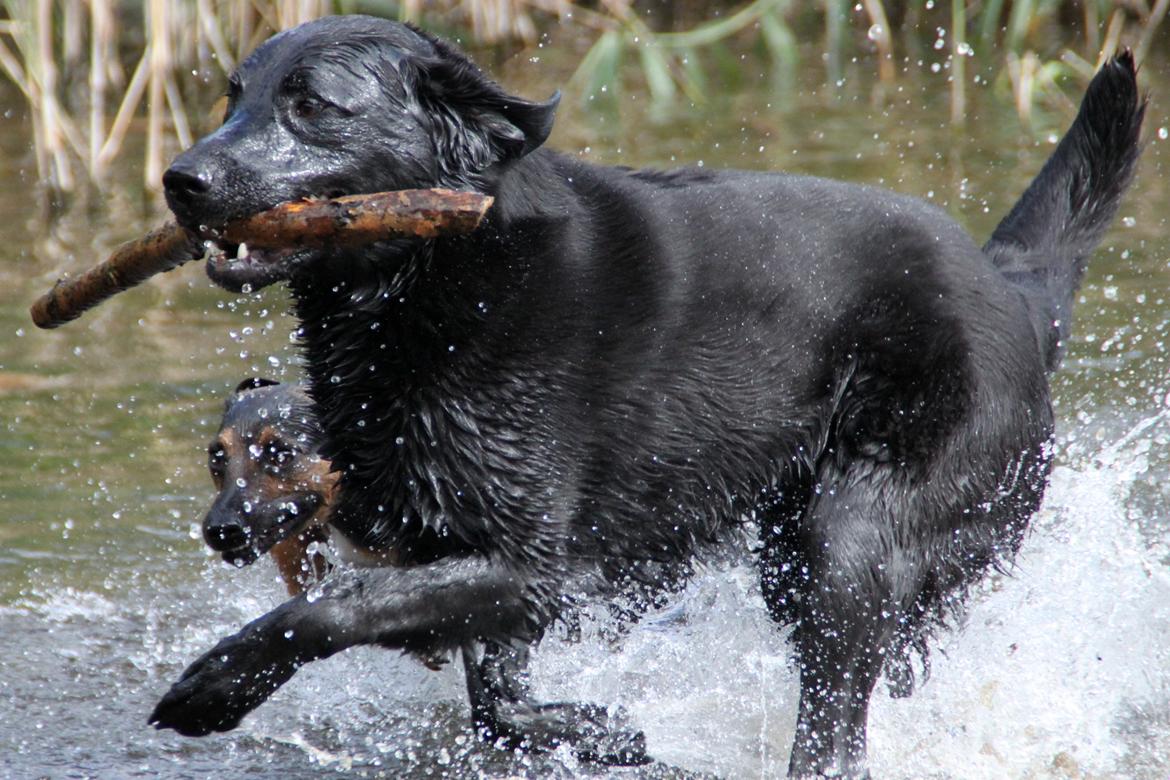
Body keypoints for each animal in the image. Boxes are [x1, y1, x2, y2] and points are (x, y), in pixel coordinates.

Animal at [150, 15, 1146, 776]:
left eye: (312, 104)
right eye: (231, 97)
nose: (179, 179)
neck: (444, 276)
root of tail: (1014, 291)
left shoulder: (532, 562)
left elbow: (336, 602)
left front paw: (215, 686)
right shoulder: (477, 558)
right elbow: (494, 704)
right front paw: (600, 733)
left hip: (852, 539)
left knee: (834, 723)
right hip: (801, 550)